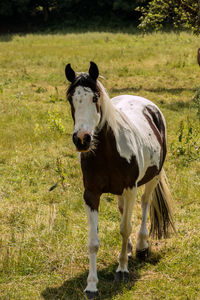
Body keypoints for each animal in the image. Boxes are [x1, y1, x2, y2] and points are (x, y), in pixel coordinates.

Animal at [64, 61, 175, 300]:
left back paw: (142, 246)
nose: (82, 139)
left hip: (151, 179)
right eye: (70, 98)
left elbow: (125, 228)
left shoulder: (130, 188)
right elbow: (93, 241)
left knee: (144, 205)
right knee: (124, 210)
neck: (107, 152)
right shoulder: (91, 194)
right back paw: (132, 247)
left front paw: (122, 270)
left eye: (95, 97)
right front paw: (91, 285)